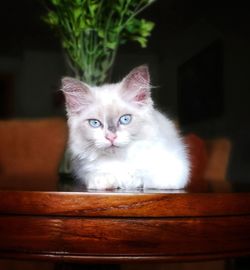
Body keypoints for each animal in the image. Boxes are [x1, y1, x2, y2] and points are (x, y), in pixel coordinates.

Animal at [61, 65, 189, 190]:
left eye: (125, 119)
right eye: (95, 123)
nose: (111, 137)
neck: (119, 159)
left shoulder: (176, 170)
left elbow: (148, 179)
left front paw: (134, 181)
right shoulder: (83, 170)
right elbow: (98, 177)